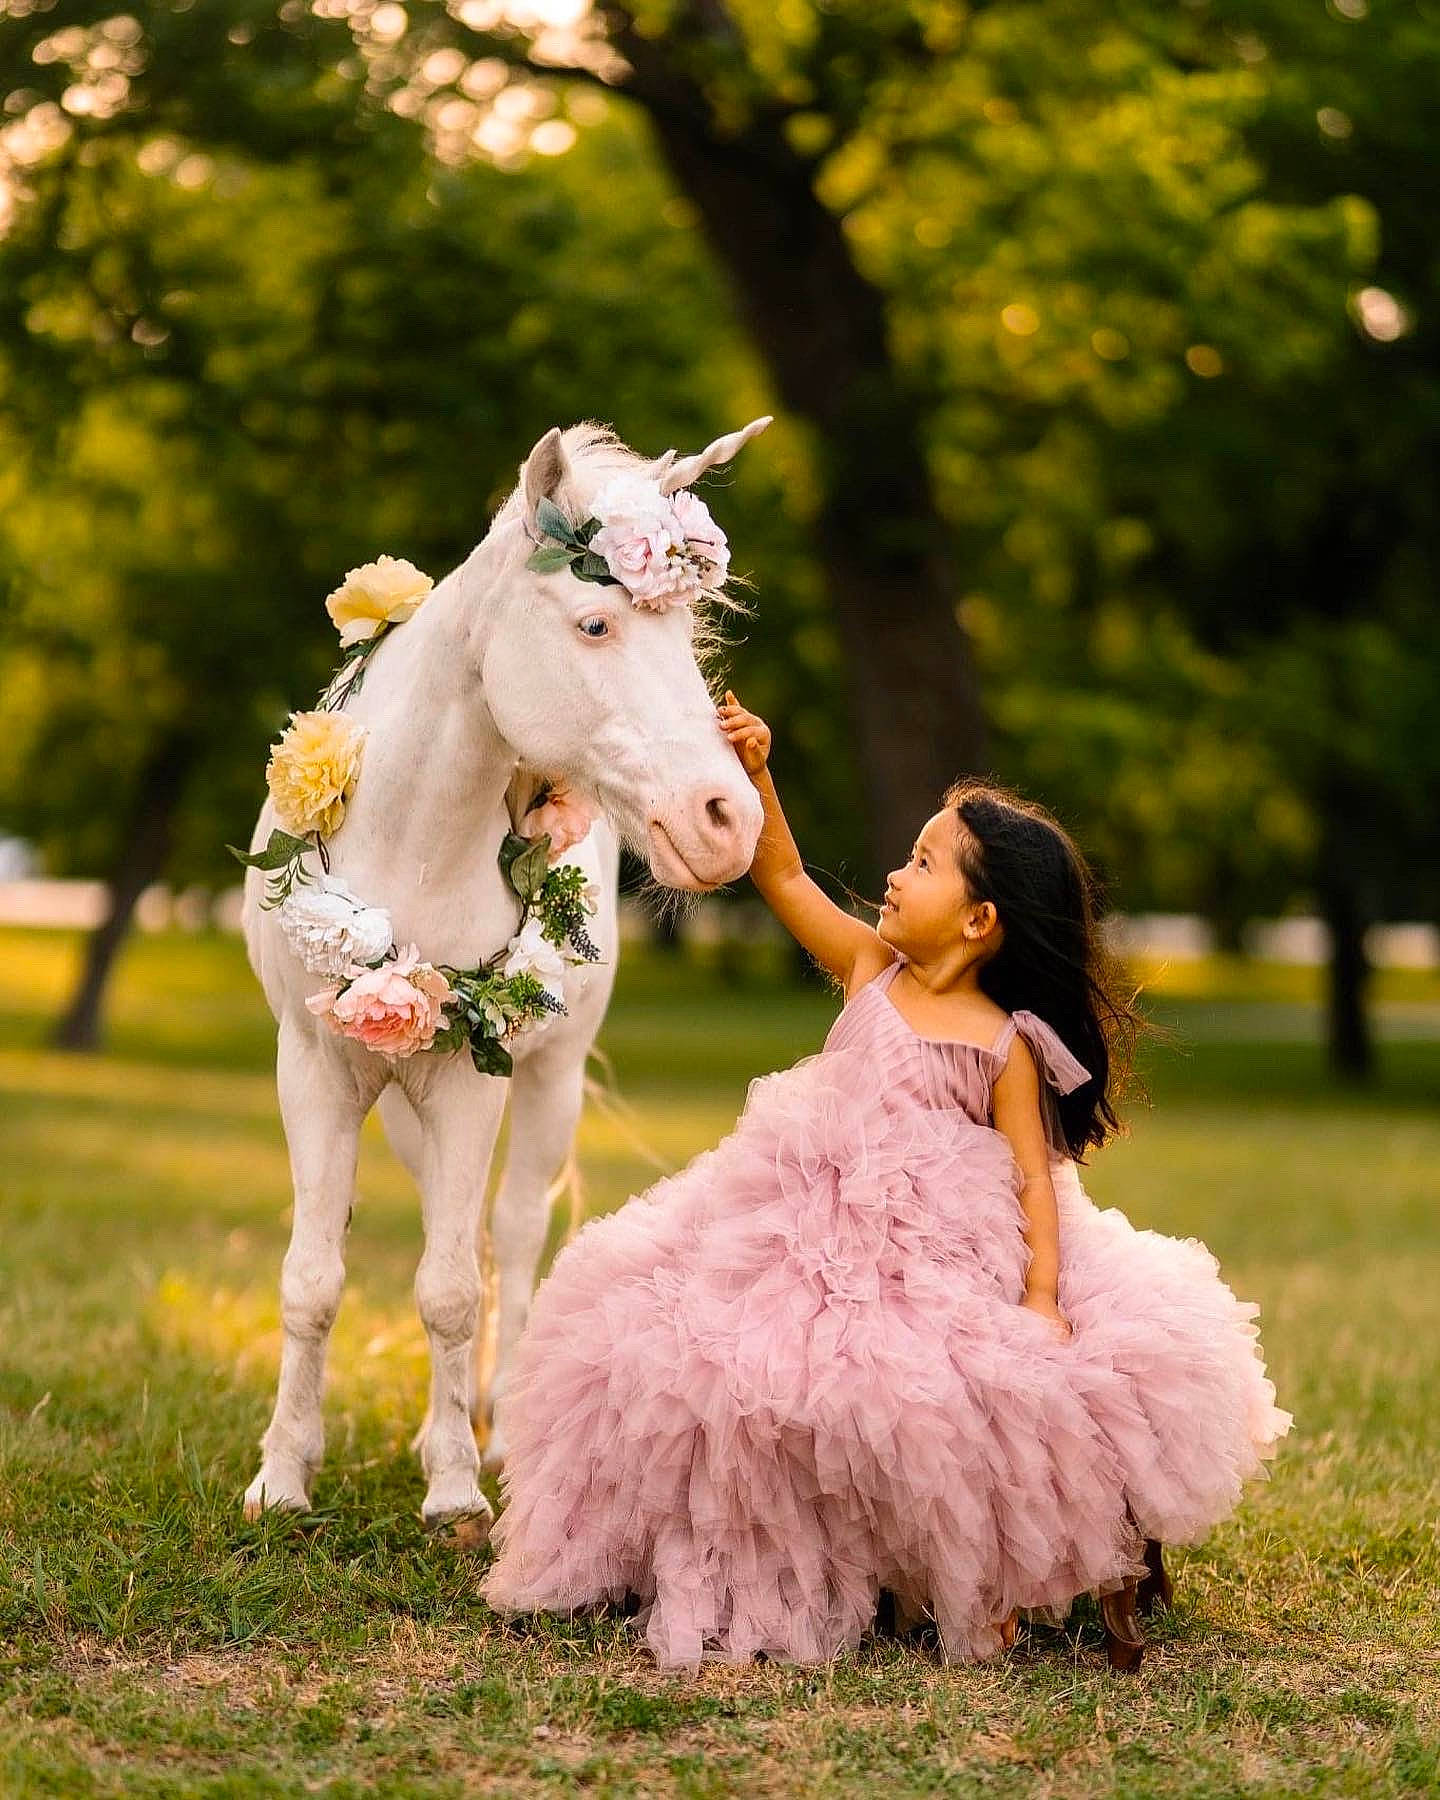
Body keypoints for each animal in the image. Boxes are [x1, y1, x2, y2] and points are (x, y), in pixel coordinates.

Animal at [239, 417, 769, 1532]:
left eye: (689, 636)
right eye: (595, 624)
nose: (729, 820)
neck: (410, 842)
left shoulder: (466, 1079)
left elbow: (451, 1289)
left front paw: (451, 1493)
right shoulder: (315, 1071)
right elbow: (314, 1277)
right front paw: (283, 1476)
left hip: (545, 1085)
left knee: (514, 1241)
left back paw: (500, 1435)